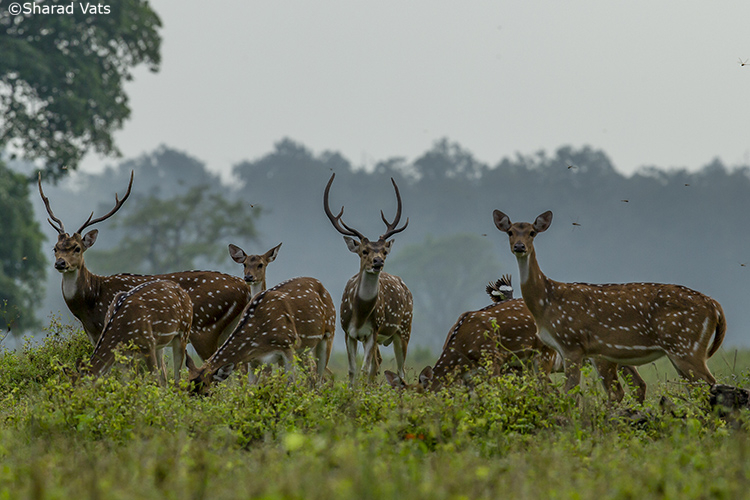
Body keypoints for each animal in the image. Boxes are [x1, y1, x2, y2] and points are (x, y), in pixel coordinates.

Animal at [39, 172, 253, 360]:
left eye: (77, 248)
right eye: (55, 248)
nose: (60, 263)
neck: (90, 306)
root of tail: (246, 290)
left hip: (204, 328)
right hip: (227, 330)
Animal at [188, 278, 338, 394]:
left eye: (206, 393)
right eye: (187, 391)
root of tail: (323, 286)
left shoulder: (288, 345)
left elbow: (290, 385)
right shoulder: (254, 360)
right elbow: (250, 388)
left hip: (329, 333)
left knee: (319, 378)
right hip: (303, 351)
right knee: (315, 376)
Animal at [324, 174, 414, 384]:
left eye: (384, 251)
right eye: (364, 251)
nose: (378, 262)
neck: (360, 315)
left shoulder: (373, 331)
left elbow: (364, 369)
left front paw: (361, 392)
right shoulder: (347, 331)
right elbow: (352, 369)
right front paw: (352, 390)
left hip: (404, 328)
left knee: (400, 370)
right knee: (379, 362)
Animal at [494, 208, 728, 398]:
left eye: (532, 232)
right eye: (510, 232)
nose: (519, 246)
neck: (546, 303)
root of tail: (715, 305)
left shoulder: (572, 343)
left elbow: (569, 393)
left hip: (686, 345)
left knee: (710, 386)